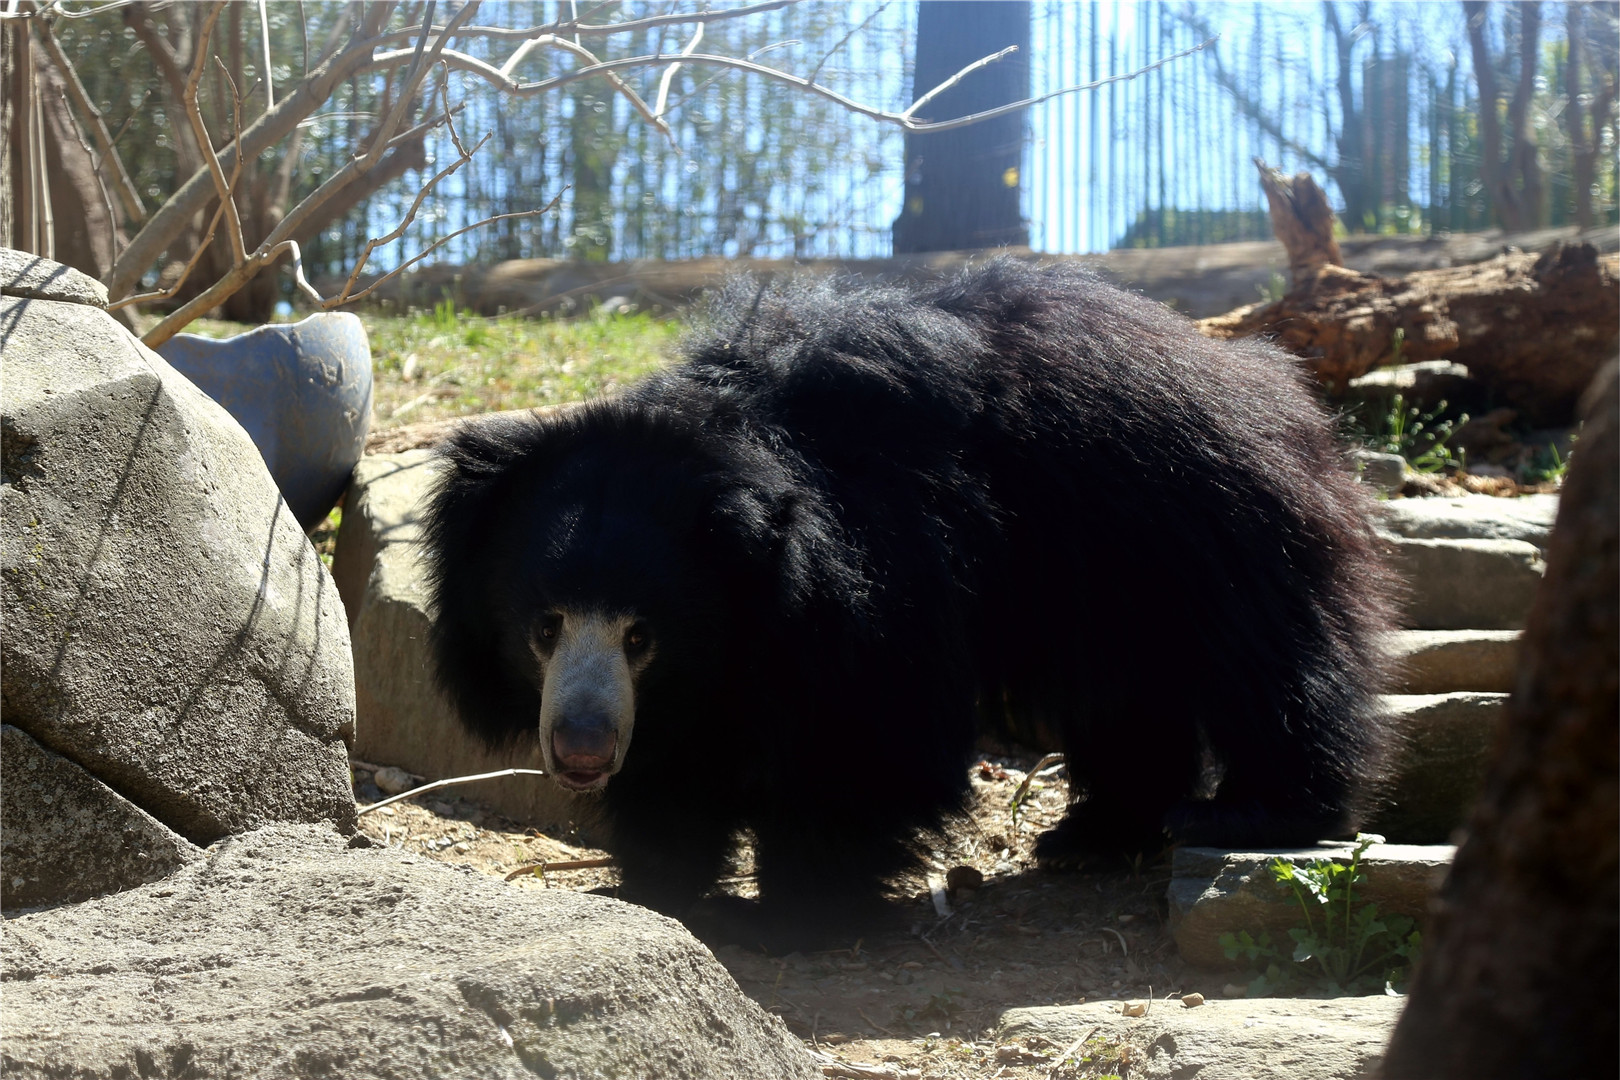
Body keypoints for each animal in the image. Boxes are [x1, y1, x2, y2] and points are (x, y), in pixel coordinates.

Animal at [421, 258, 1398, 948]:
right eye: (543, 626)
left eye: (640, 636)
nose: (580, 751)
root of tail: (1249, 367)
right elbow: (682, 764)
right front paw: (656, 883)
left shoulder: (873, 584)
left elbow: (863, 737)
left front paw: (787, 913)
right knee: (1126, 693)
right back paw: (1094, 832)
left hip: (1201, 526)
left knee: (1266, 660)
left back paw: (1253, 813)